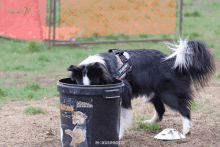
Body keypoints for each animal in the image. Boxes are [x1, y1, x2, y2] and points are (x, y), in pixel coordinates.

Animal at [67, 38, 215, 139]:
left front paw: (118, 135)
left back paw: (186, 130)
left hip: (168, 92)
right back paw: (150, 123)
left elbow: (121, 116)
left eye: (95, 86)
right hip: (154, 92)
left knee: (183, 108)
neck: (104, 67)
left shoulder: (124, 93)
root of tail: (174, 62)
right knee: (160, 109)